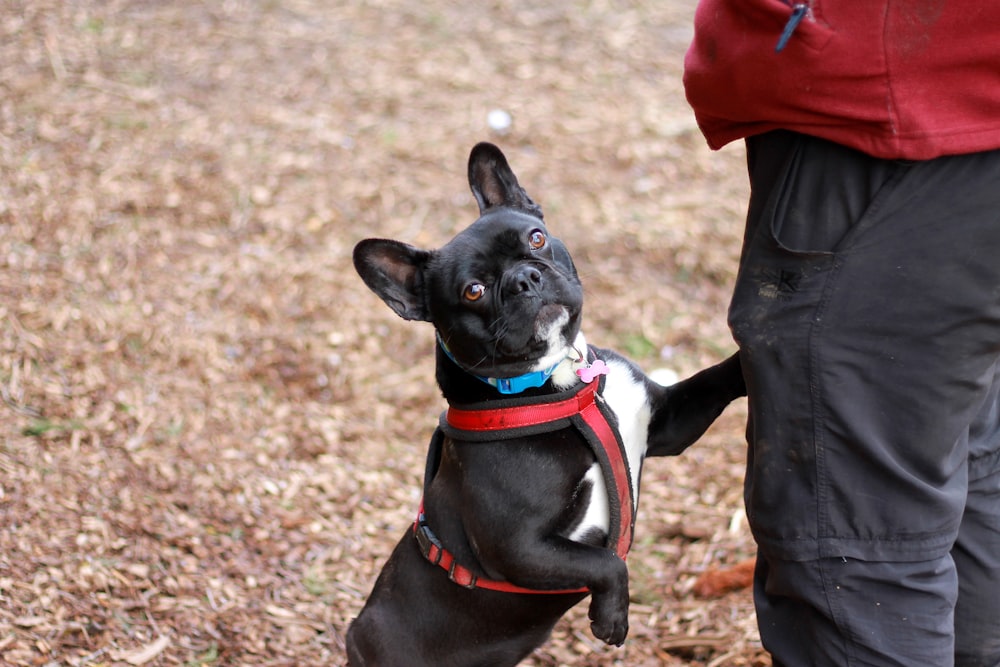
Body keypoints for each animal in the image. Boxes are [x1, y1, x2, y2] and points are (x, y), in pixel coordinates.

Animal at [344, 144, 744, 664]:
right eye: (473, 290)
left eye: (536, 239)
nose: (524, 278)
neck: (561, 385)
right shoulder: (519, 548)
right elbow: (605, 561)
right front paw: (611, 617)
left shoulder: (665, 422)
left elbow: (714, 380)